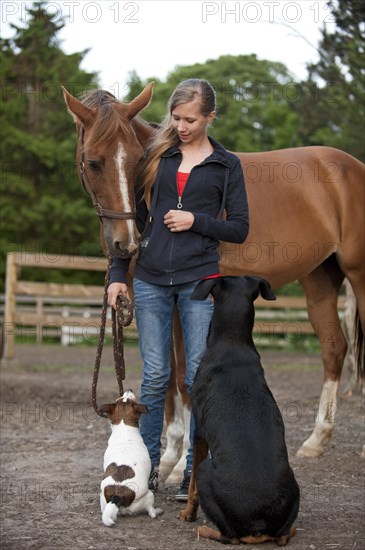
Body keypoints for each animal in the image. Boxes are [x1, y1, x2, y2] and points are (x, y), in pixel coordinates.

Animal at [62, 82, 364, 484]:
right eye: (94, 162)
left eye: (138, 162)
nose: (126, 243)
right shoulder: (153, 300)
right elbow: (168, 377)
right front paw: (169, 456)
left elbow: (185, 377)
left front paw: (182, 465)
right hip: (318, 279)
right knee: (334, 348)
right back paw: (317, 439)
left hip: (359, 275)